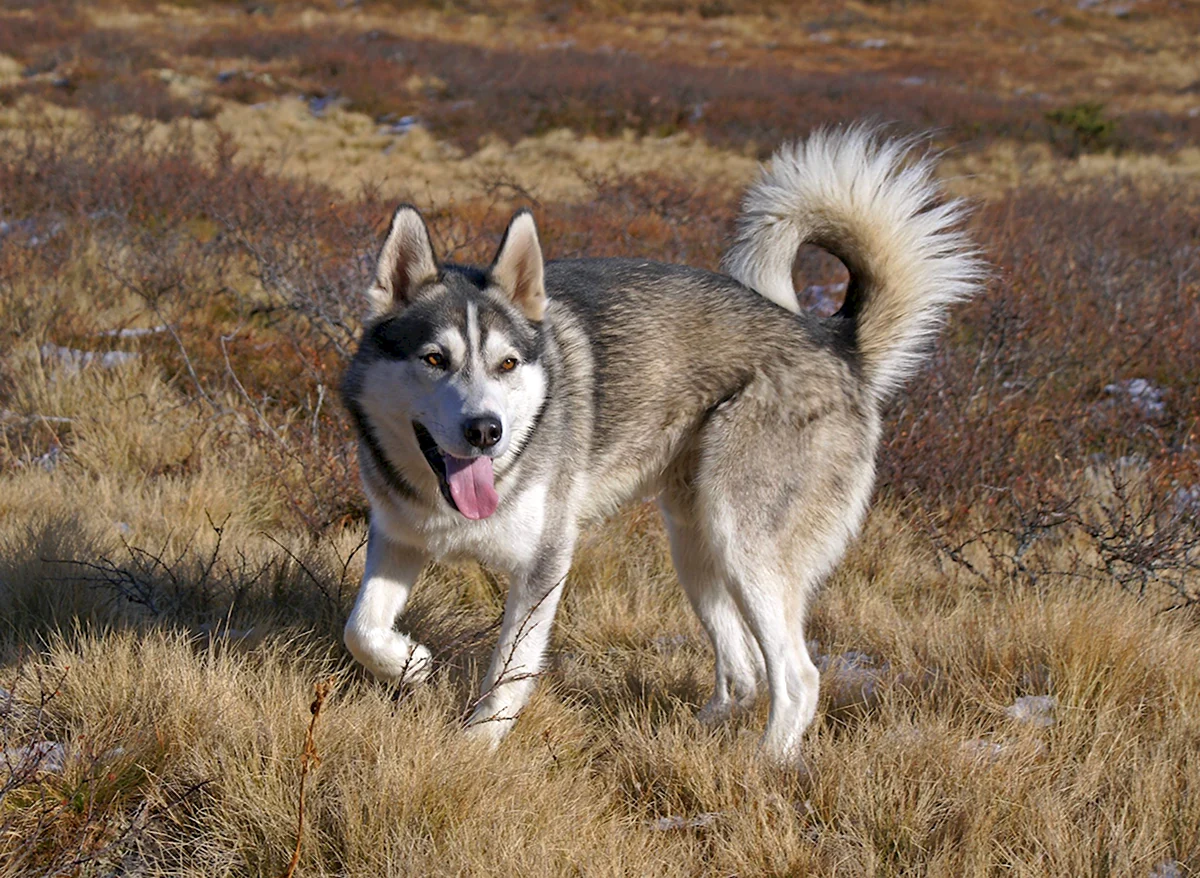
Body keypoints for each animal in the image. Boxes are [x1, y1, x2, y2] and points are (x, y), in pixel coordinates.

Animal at [340, 125, 984, 762]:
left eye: (506, 364)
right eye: (434, 359)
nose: (485, 430)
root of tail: (837, 343)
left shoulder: (543, 564)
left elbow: (508, 674)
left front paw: (473, 747)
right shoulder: (398, 536)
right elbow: (360, 630)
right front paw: (411, 664)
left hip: (745, 543)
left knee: (798, 678)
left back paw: (763, 768)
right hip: (695, 540)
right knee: (746, 673)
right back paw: (697, 737)